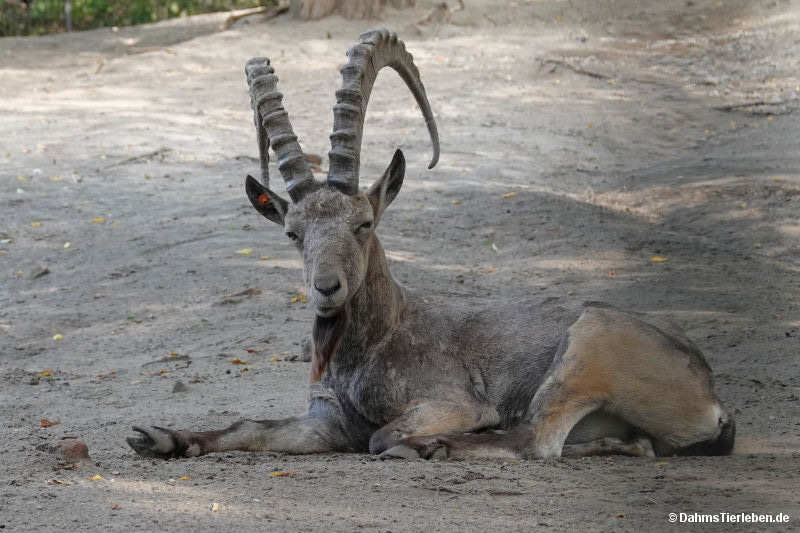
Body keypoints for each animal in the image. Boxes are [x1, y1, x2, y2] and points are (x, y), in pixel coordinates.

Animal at [127, 29, 735, 460]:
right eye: (293, 233)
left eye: (364, 223)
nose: (327, 289)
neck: (378, 339)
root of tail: (710, 398)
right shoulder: (325, 422)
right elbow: (249, 425)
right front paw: (160, 437)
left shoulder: (447, 402)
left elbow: (381, 436)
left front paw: (424, 439)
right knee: (613, 444)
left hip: (587, 350)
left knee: (535, 440)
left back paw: (432, 448)